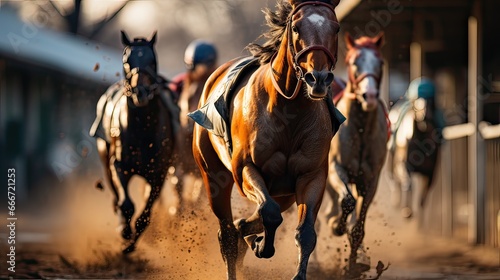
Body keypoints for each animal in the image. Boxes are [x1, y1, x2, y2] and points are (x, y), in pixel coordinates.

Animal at [90, 30, 180, 254]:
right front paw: (124, 231)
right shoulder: (120, 165)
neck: (142, 128)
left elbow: (146, 213)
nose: (141, 92)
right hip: (104, 154)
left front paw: (131, 244)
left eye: (152, 61)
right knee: (115, 193)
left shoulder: (158, 173)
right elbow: (127, 204)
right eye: (126, 60)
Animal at [191, 1, 344, 278]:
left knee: (242, 225)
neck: (289, 112)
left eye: (336, 28)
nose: (318, 78)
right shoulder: (245, 169)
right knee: (228, 233)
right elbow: (269, 213)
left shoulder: (312, 175)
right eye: (296, 27)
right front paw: (262, 246)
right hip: (211, 175)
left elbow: (305, 233)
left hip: (285, 192)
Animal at [324, 32, 390, 274]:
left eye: (380, 62)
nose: (368, 95)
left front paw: (354, 265)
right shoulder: (335, 168)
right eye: (354, 62)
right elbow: (347, 201)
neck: (360, 131)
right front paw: (336, 225)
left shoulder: (370, 180)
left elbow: (358, 227)